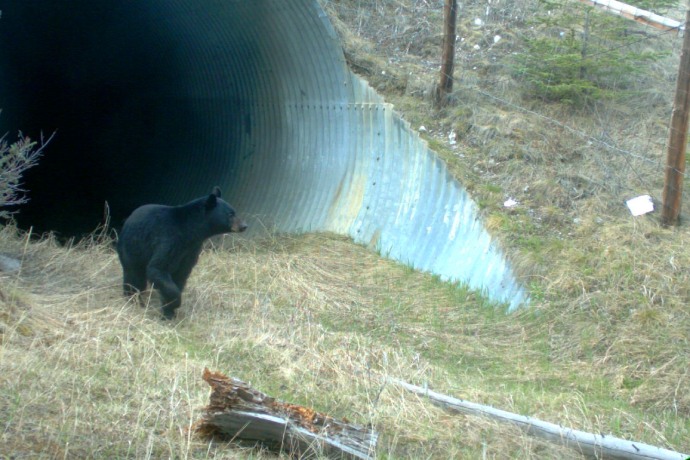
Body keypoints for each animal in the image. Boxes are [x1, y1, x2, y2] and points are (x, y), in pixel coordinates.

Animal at [117, 185, 246, 318]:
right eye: (230, 214)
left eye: (234, 211)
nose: (244, 225)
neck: (189, 231)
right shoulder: (170, 240)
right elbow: (158, 268)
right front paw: (175, 302)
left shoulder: (191, 250)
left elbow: (181, 274)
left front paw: (169, 312)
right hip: (132, 249)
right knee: (134, 275)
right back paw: (134, 299)